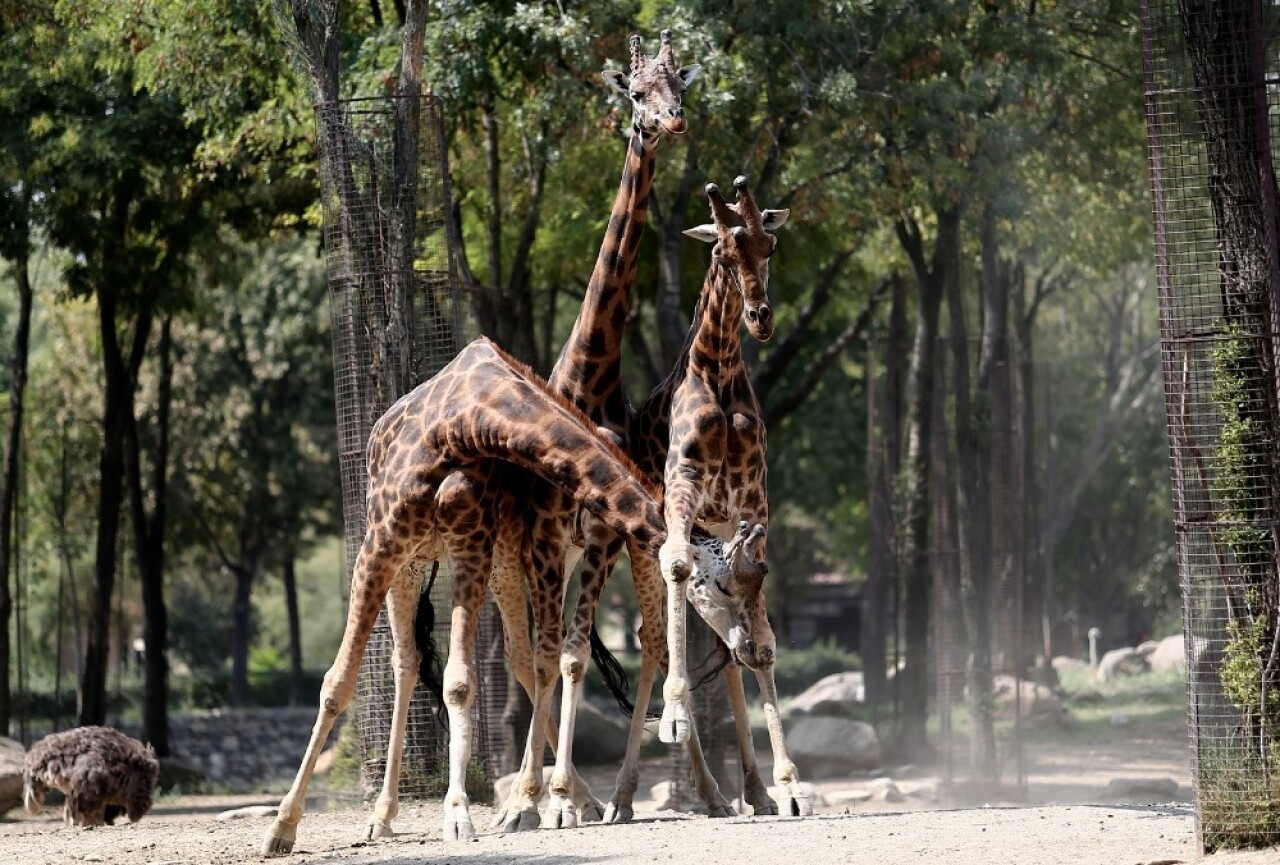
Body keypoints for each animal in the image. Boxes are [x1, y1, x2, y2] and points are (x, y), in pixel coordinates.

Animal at [262, 337, 757, 849]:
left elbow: (461, 682)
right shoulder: (378, 543)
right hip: (410, 560)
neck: (472, 420)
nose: (754, 649)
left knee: (507, 657)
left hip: (493, 562)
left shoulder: (474, 543)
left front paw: (460, 815)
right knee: (407, 662)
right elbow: (335, 683)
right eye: (725, 585)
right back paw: (385, 816)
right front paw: (282, 827)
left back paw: (577, 802)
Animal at [483, 30, 706, 834]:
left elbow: (577, 657)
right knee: (525, 655)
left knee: (592, 649)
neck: (590, 376)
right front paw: (536, 800)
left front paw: (559, 800)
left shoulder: (602, 537)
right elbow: (553, 658)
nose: (671, 122)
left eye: (680, 85)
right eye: (636, 92)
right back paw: (539, 795)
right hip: (514, 560)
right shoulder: (549, 536)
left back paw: (593, 794)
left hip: (591, 554)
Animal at [604, 174, 814, 818]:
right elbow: (675, 578)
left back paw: (739, 791)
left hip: (716, 536)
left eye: (770, 248)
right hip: (638, 542)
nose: (761, 318)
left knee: (723, 647)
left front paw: (787, 785)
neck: (718, 374)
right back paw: (624, 794)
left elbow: (757, 645)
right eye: (722, 252)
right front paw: (674, 714)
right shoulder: (683, 484)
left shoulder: (750, 500)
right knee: (651, 641)